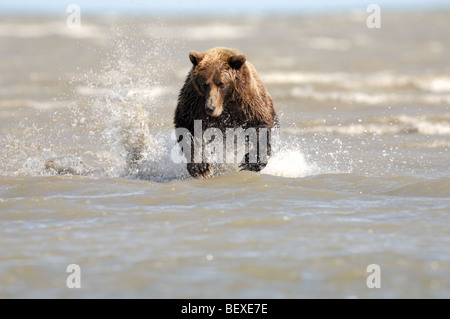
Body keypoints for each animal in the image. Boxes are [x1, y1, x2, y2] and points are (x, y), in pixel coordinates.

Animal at [173, 47, 276, 179]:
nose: (210, 107)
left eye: (221, 84)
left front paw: (250, 162)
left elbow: (259, 125)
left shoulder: (246, 102)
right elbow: (186, 126)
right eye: (205, 84)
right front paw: (202, 168)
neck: (224, 105)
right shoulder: (194, 103)